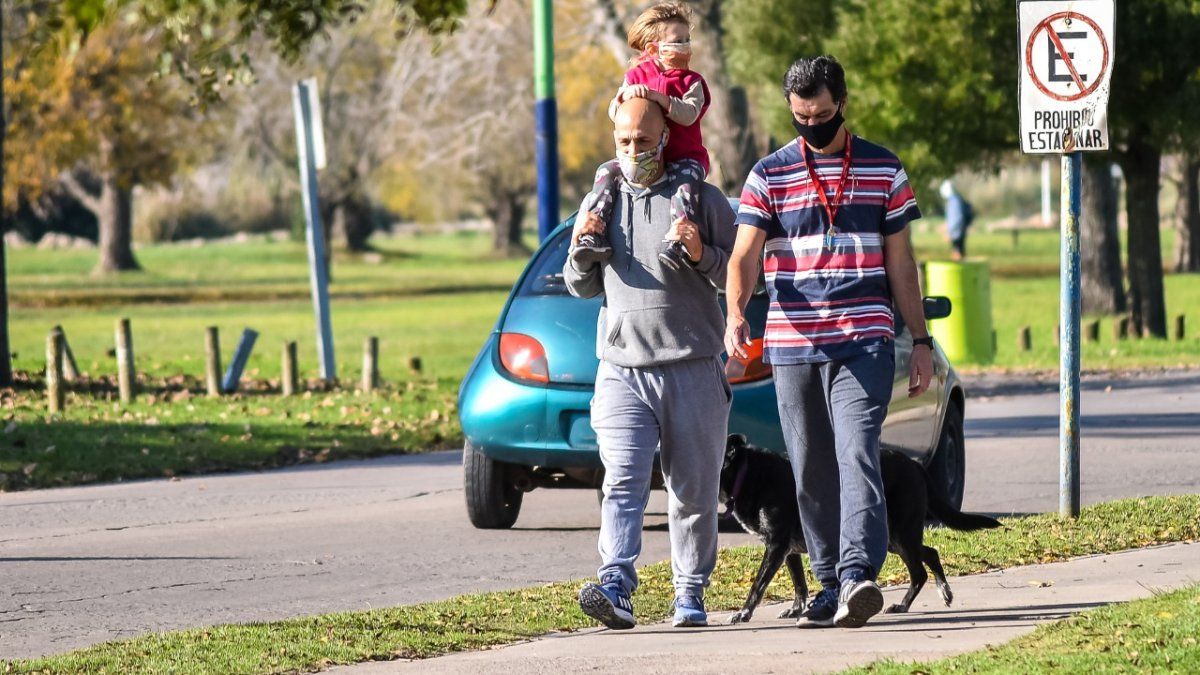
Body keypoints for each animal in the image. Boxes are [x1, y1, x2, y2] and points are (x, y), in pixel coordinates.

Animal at [720, 432, 1003, 624]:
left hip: (900, 534)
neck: (747, 473)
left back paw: (902, 606)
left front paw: (743, 613)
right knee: (931, 553)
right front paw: (796, 610)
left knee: (919, 572)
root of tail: (914, 464)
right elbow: (799, 583)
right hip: (893, 538)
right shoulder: (787, 550)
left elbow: (758, 585)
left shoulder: (776, 546)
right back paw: (944, 592)